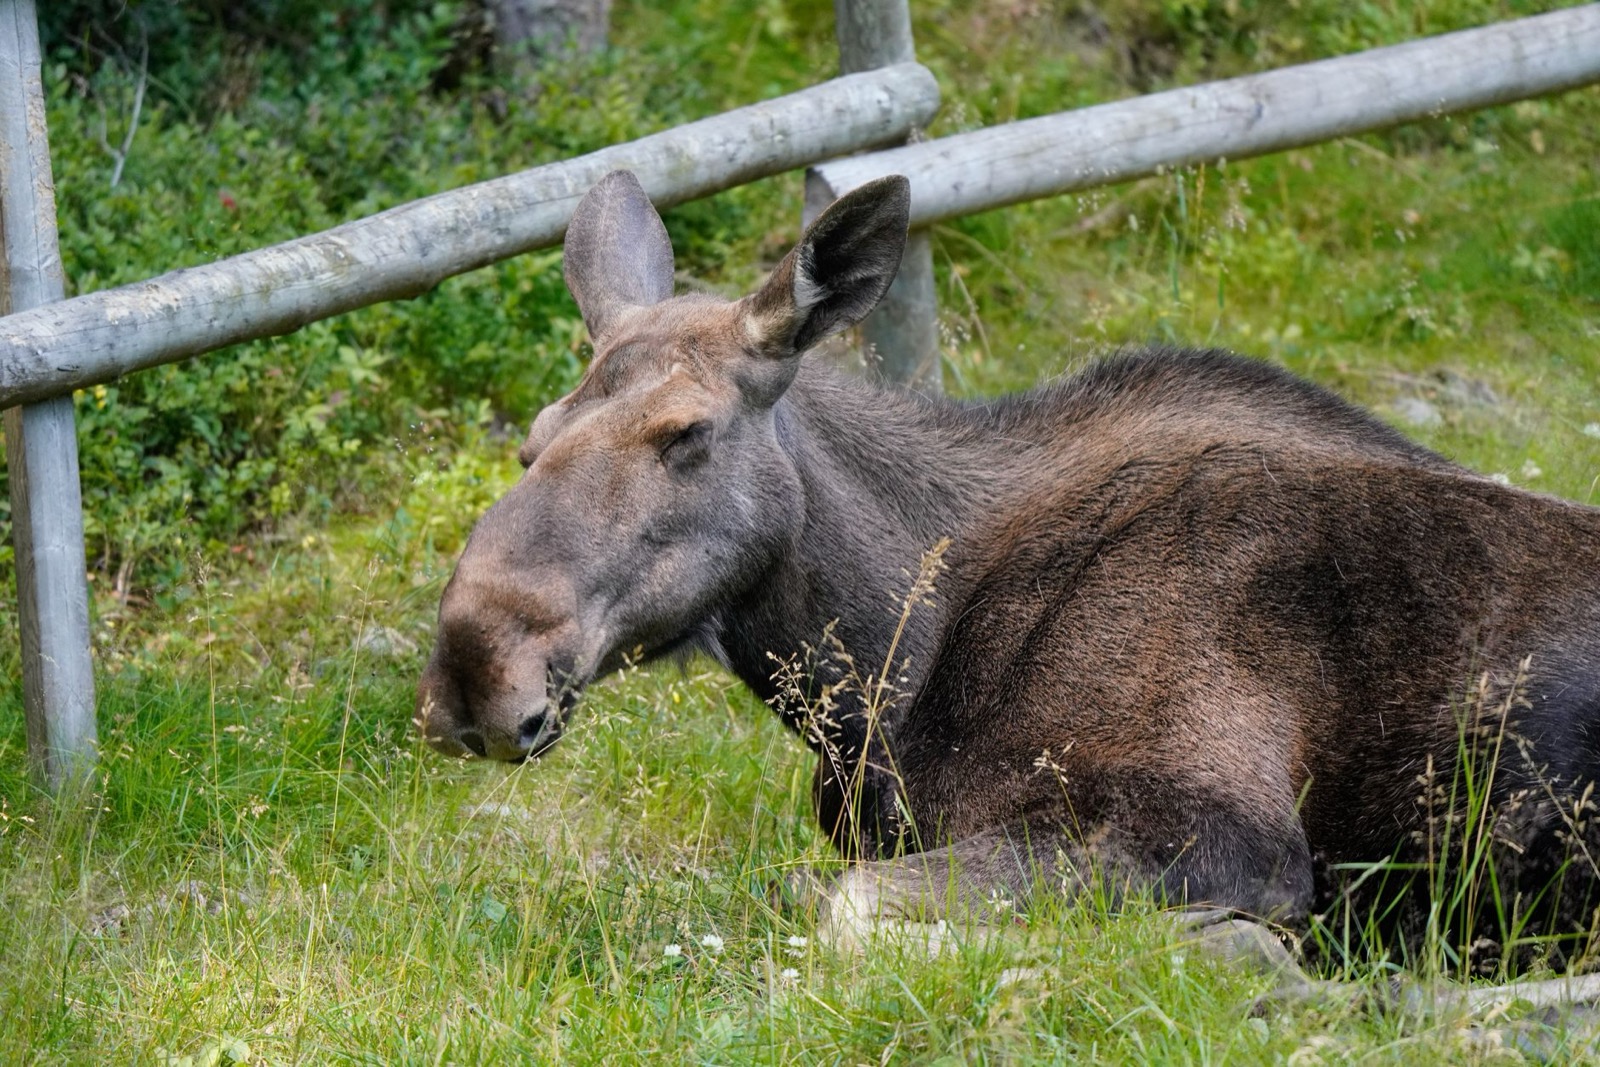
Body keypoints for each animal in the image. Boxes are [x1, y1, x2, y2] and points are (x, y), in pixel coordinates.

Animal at [415, 169, 1600, 975]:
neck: (881, 673)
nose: (475, 671)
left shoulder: (1224, 831)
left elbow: (841, 904)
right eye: (532, 440)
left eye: (687, 432)